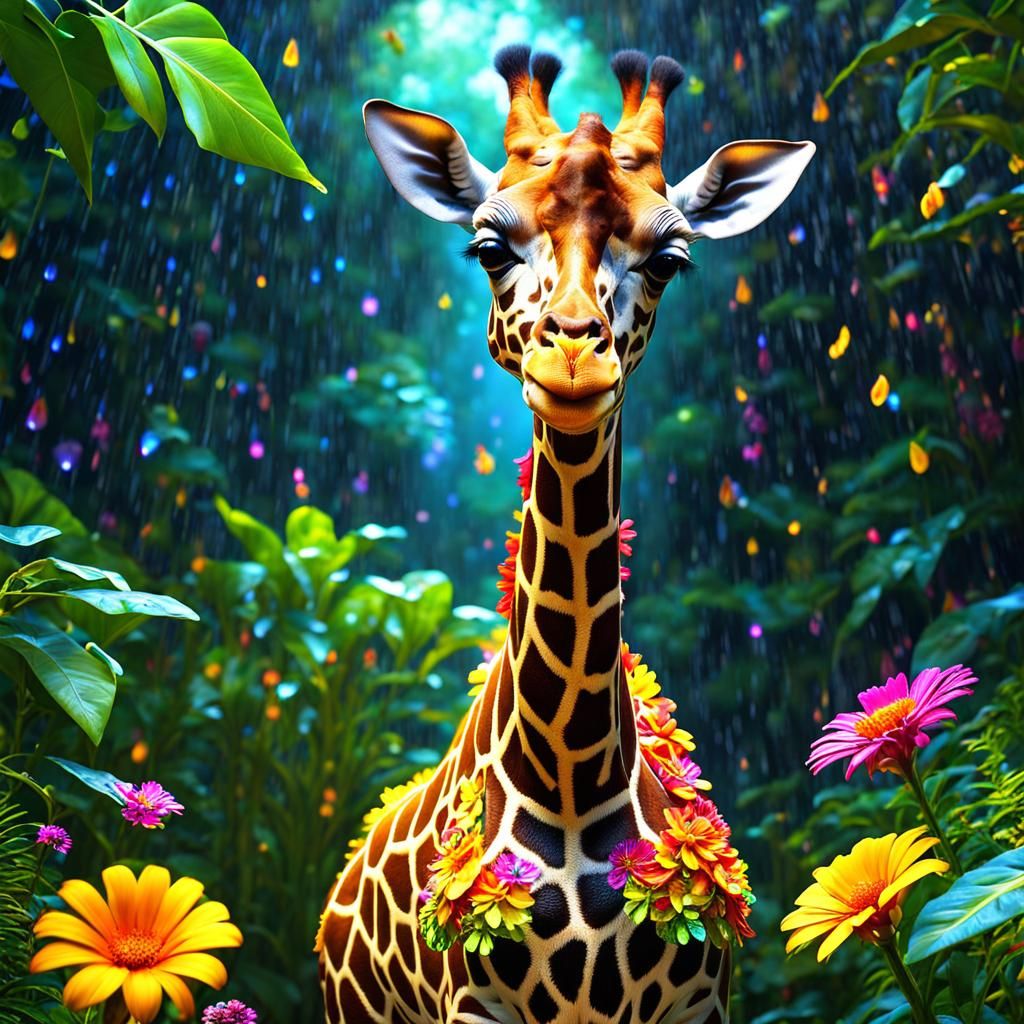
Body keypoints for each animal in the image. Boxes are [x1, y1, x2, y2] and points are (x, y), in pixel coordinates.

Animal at [318, 45, 814, 1024]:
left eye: (671, 257)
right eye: (487, 245)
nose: (574, 355)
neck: (572, 772)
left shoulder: (700, 999)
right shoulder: (472, 1000)